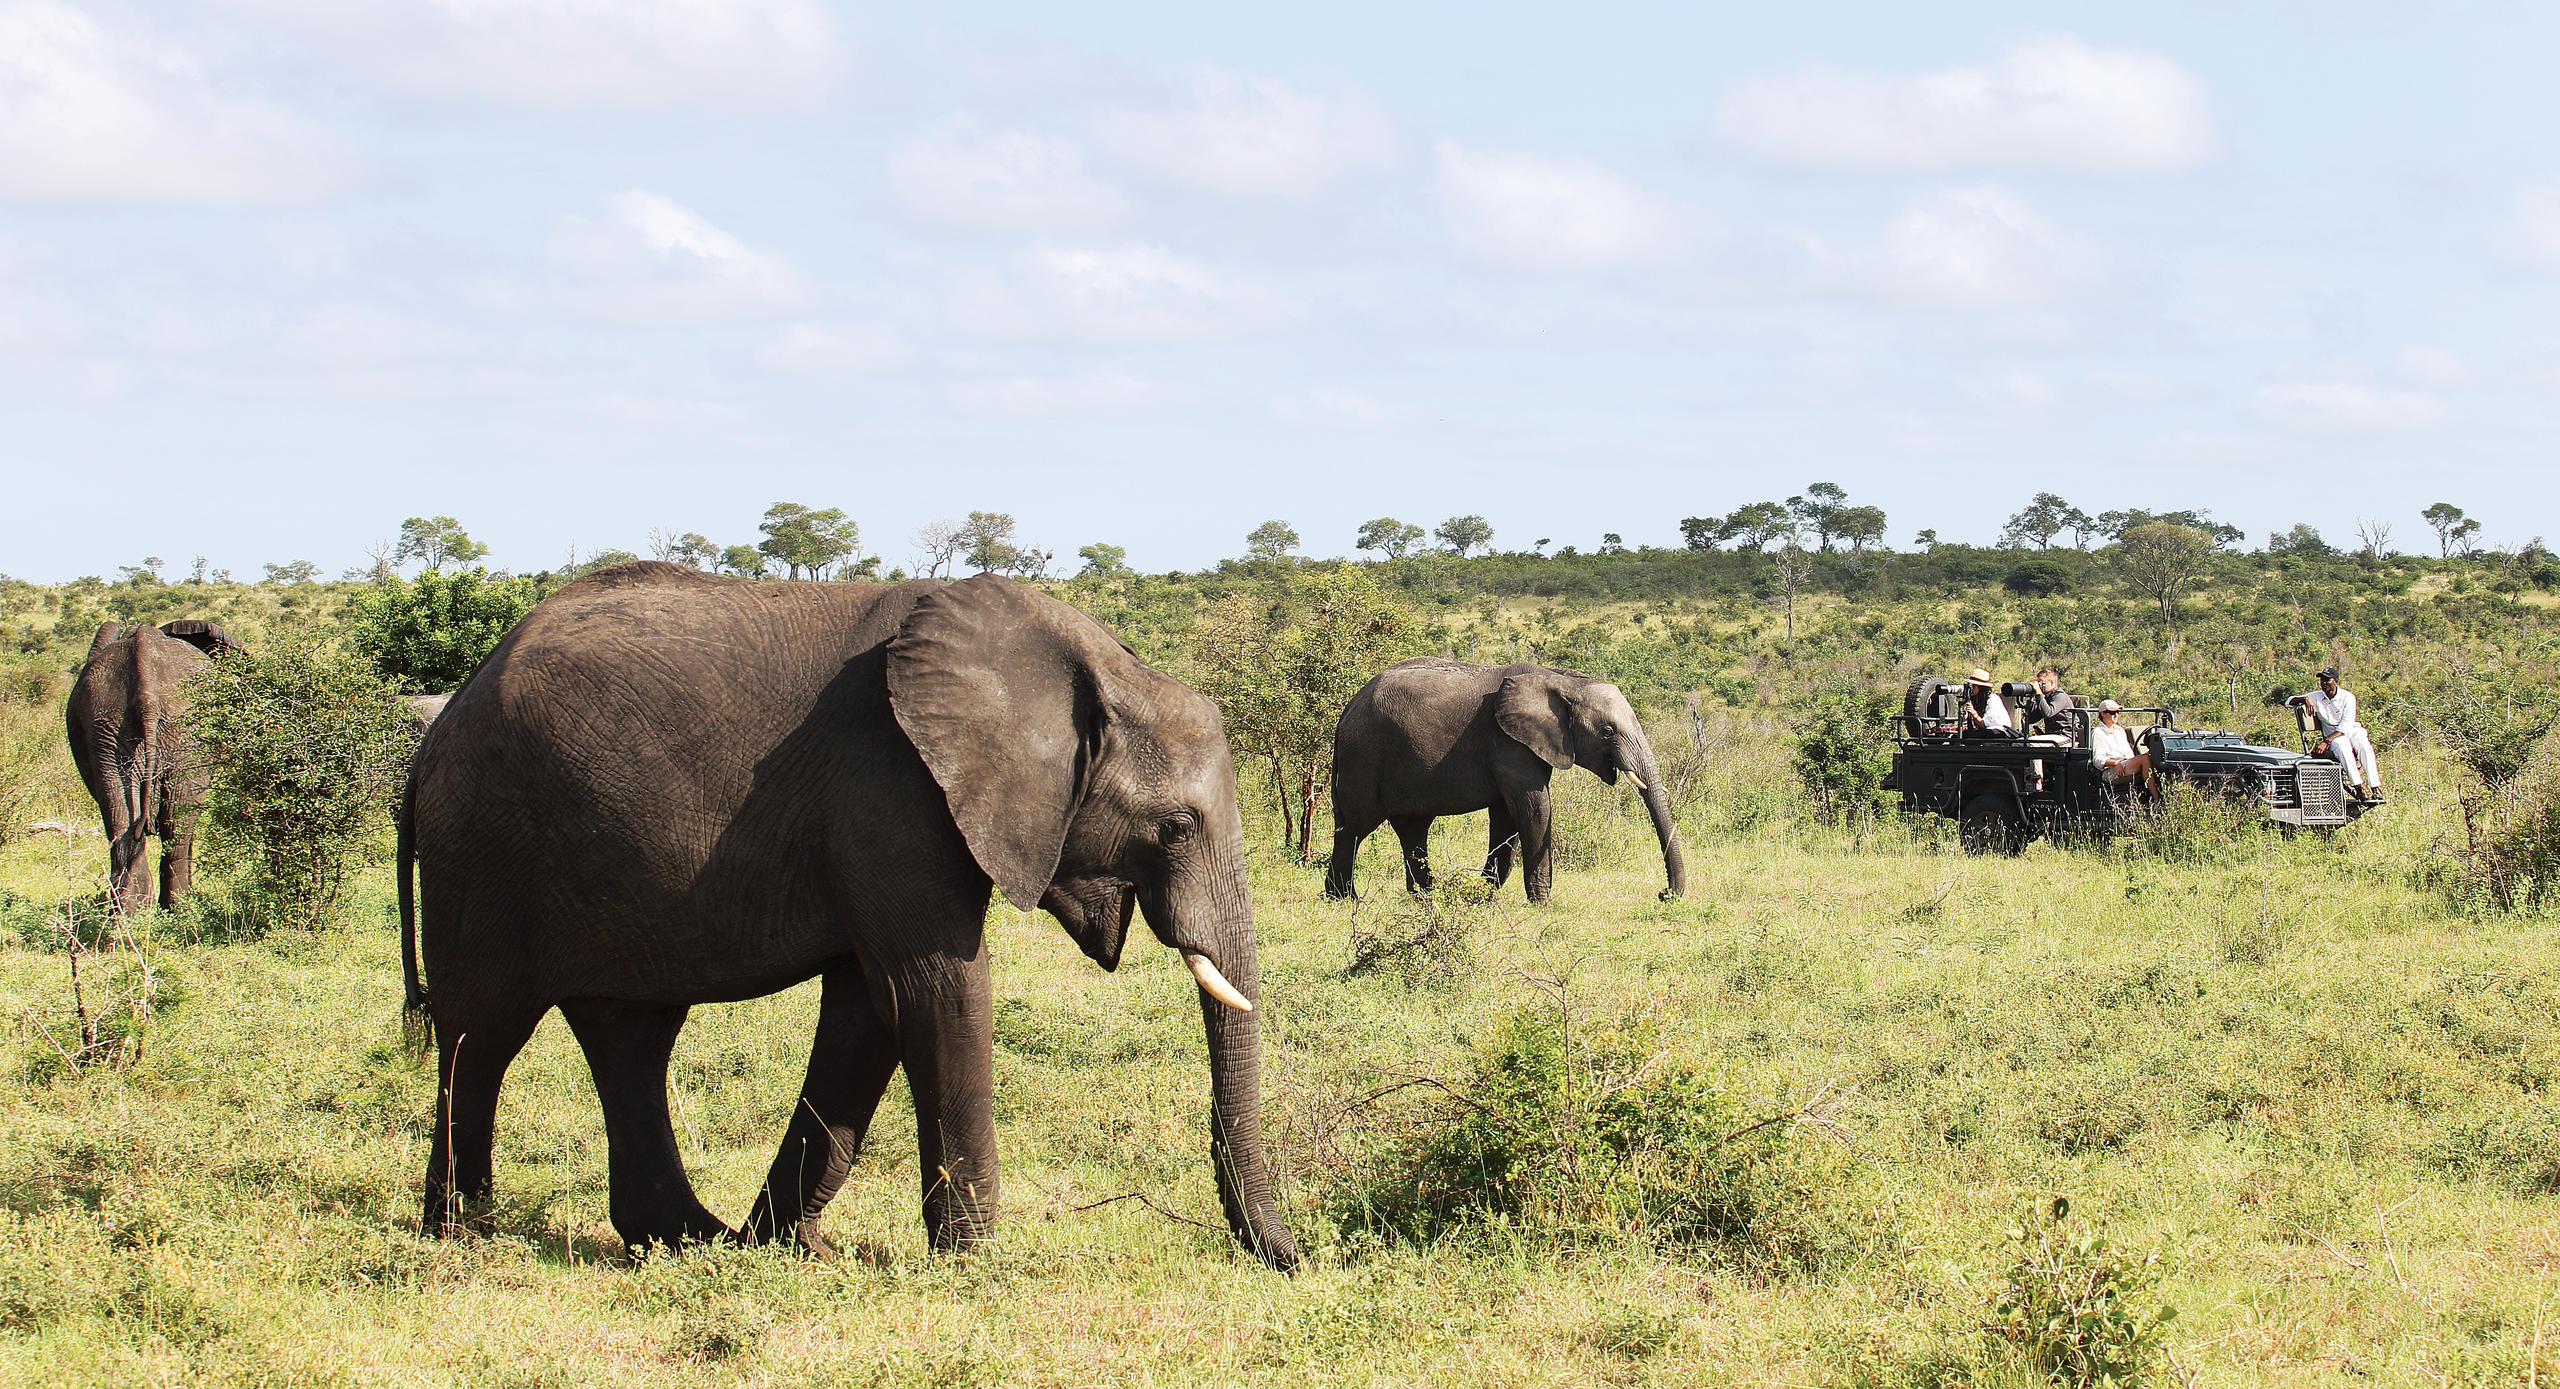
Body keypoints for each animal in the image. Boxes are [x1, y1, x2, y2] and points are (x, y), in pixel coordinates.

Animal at [66, 619, 242, 916]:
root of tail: (147, 693)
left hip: (113, 726)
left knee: (129, 812)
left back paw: (129, 909)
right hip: (174, 729)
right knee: (175, 815)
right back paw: (175, 906)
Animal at [399, 564, 1299, 1270]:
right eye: (1175, 826)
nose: (1296, 1260)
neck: (1077, 662)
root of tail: (441, 721)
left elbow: (867, 1013)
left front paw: (794, 1249)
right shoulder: (893, 790)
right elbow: (935, 993)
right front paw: (977, 1266)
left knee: (630, 1037)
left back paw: (689, 1239)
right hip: (481, 846)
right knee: (483, 1033)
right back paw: (463, 1239)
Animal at [1323, 658, 1686, 904]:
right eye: (1608, 731)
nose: (1664, 893)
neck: (1562, 680)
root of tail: (1345, 712)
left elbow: (1507, 816)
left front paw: (1484, 895)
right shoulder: (1509, 744)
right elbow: (1534, 808)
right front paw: (1542, 903)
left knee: (1412, 827)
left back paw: (1426, 896)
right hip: (1364, 755)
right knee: (1355, 827)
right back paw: (1344, 899)